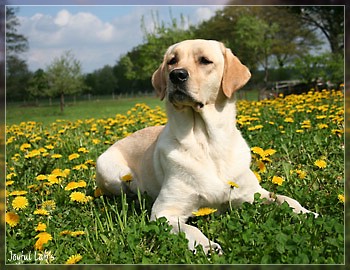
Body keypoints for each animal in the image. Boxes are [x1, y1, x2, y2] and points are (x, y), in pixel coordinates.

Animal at [96, 39, 318, 254]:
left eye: (205, 60)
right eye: (172, 61)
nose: (176, 75)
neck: (207, 143)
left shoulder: (254, 193)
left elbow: (285, 199)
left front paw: (307, 213)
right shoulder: (164, 212)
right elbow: (189, 228)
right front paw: (207, 246)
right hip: (112, 171)